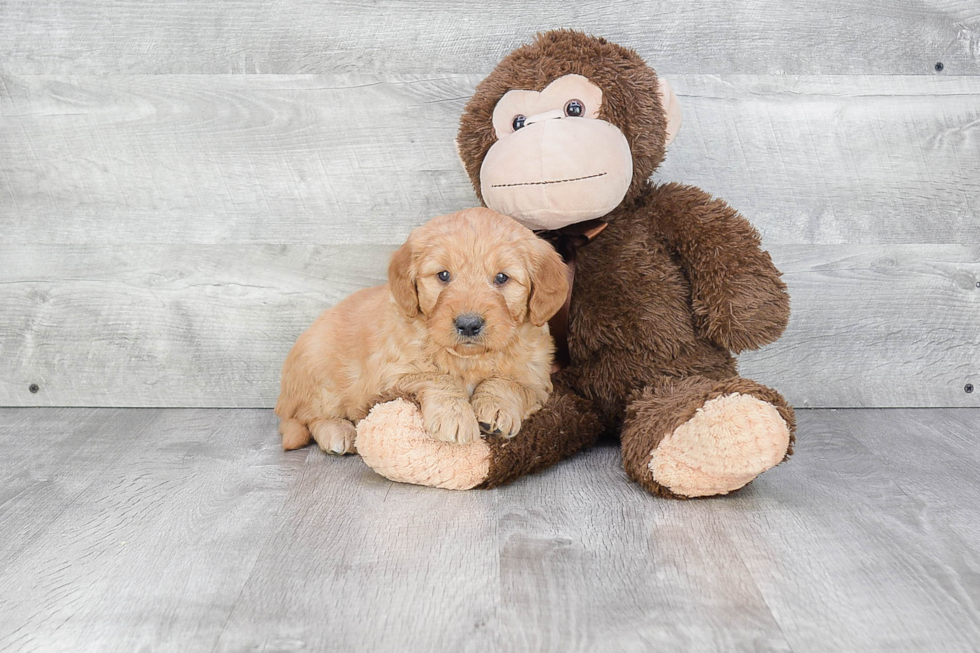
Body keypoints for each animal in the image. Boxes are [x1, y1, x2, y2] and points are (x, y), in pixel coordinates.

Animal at [274, 209, 568, 454]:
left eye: (502, 278)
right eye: (444, 275)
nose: (468, 324)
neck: (469, 359)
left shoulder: (538, 381)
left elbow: (507, 382)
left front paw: (496, 408)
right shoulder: (390, 377)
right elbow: (438, 377)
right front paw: (455, 416)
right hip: (319, 373)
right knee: (305, 418)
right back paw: (337, 432)